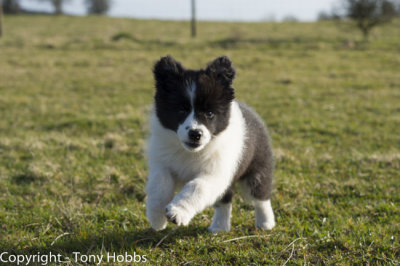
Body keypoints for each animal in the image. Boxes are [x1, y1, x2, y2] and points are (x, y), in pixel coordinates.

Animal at [146, 55, 276, 233]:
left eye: (209, 113)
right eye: (181, 110)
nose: (195, 134)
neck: (191, 152)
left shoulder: (215, 173)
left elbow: (196, 187)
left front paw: (177, 212)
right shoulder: (162, 163)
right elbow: (159, 185)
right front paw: (157, 217)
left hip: (257, 169)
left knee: (260, 197)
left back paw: (266, 222)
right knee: (225, 201)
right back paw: (220, 227)